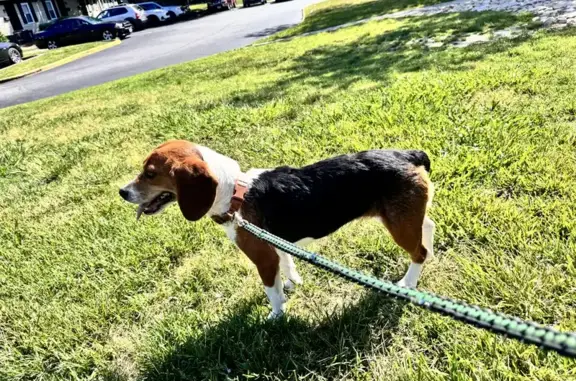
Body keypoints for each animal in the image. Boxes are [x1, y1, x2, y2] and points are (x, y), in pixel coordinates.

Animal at [121, 140, 436, 318]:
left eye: (150, 174)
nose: (122, 192)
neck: (234, 193)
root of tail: (408, 155)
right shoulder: (276, 245)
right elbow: (287, 265)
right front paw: (292, 284)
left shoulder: (263, 257)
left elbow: (270, 291)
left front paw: (276, 316)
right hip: (406, 216)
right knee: (428, 227)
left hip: (399, 225)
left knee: (417, 252)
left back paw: (408, 283)